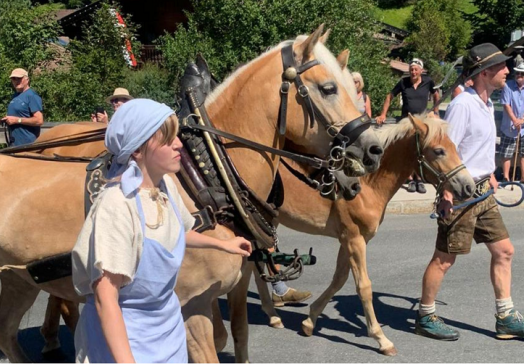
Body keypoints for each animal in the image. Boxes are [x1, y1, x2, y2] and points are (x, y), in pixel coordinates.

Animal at [0, 26, 382, 364]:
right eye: (329, 88)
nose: (373, 149)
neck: (207, 174)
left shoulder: (231, 286)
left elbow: (238, 335)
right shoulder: (190, 305)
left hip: (18, 279)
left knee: (9, 335)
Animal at [215, 113, 476, 356]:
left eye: (455, 146)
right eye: (439, 150)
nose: (469, 187)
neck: (365, 183)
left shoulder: (348, 239)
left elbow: (339, 279)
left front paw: (309, 321)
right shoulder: (354, 239)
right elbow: (364, 286)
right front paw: (381, 339)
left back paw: (273, 316)